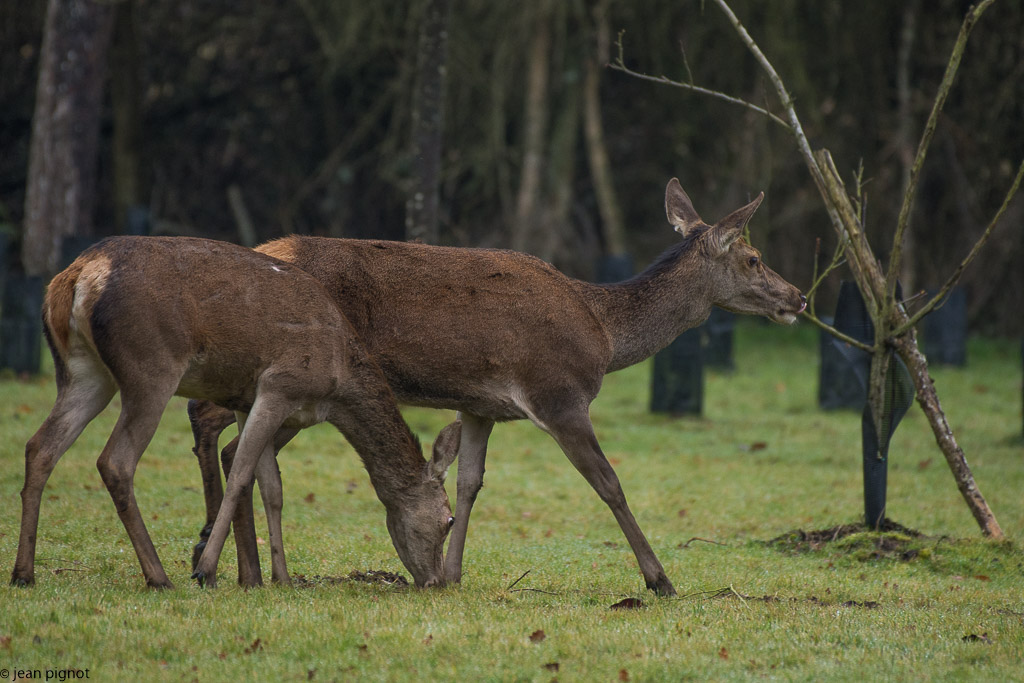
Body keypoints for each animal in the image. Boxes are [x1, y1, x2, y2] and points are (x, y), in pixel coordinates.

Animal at [9, 237, 458, 589]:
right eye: (448, 520)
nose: (436, 581)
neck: (338, 380)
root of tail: (77, 275)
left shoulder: (246, 401)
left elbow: (272, 486)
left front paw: (278, 577)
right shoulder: (280, 384)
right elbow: (242, 472)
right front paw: (207, 570)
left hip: (82, 372)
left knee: (40, 446)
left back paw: (23, 573)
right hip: (150, 368)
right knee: (115, 461)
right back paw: (159, 577)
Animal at [188, 180, 802, 593]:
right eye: (753, 258)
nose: (797, 297)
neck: (603, 333)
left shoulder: (479, 404)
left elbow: (470, 483)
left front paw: (454, 573)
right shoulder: (558, 395)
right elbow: (608, 483)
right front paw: (660, 579)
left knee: (225, 437)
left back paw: (234, 566)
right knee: (216, 428)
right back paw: (223, 563)